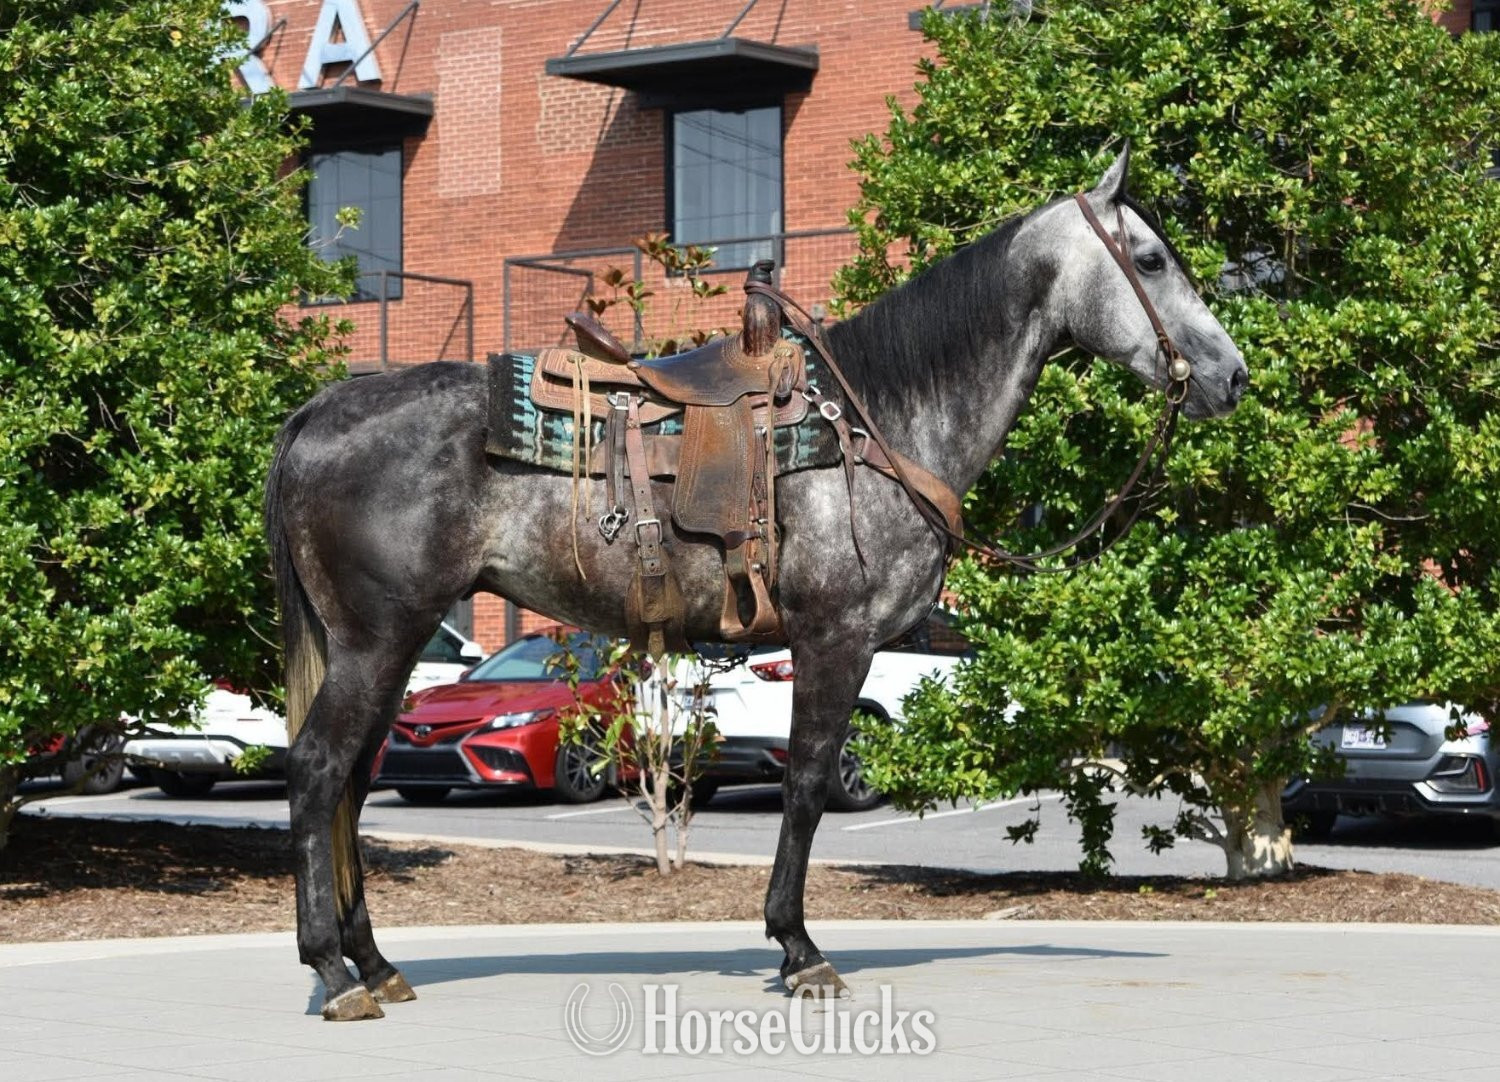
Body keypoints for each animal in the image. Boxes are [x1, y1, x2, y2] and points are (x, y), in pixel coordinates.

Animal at [265, 147, 1248, 1020]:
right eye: (1151, 259)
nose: (1231, 375)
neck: (877, 424)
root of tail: (321, 410)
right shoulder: (835, 642)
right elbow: (808, 785)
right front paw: (800, 950)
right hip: (376, 640)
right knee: (318, 771)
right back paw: (337, 974)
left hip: (389, 646)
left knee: (353, 782)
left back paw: (375, 963)